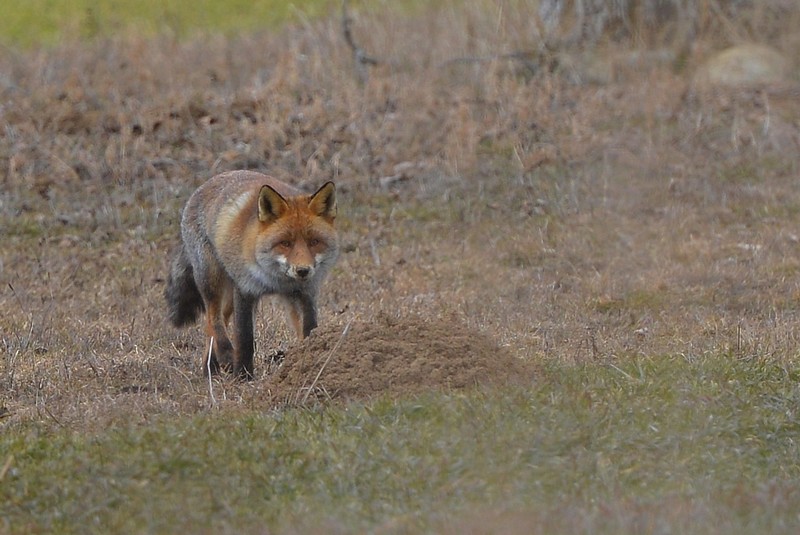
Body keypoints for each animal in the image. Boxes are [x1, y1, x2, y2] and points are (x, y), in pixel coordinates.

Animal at [164, 170, 339, 379]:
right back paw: (224, 357)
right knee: (213, 318)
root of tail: (211, 180)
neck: (277, 281)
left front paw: (309, 360)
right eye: (285, 243)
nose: (303, 270)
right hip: (212, 279)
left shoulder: (304, 293)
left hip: (230, 293)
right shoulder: (246, 289)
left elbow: (309, 329)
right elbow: (244, 337)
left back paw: (211, 367)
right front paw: (243, 375)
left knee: (216, 322)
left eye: (314, 242)